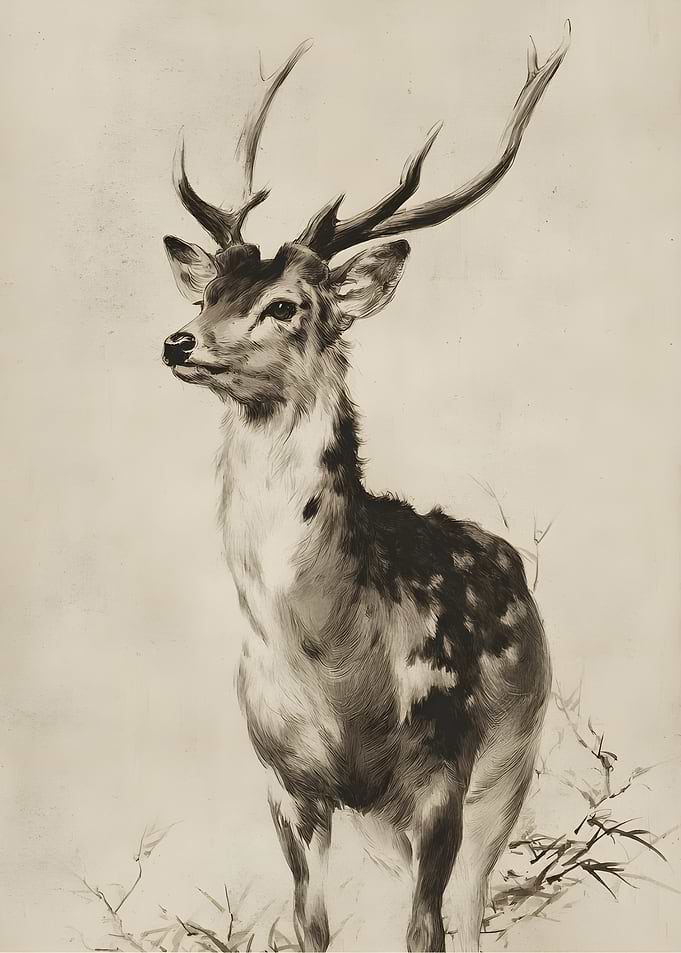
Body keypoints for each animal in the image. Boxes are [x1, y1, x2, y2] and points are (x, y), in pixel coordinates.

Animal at [161, 25, 569, 953]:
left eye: (285, 304)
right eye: (211, 290)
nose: (178, 340)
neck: (336, 667)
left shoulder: (440, 772)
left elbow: (427, 929)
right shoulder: (284, 780)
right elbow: (310, 926)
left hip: (511, 759)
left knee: (474, 904)